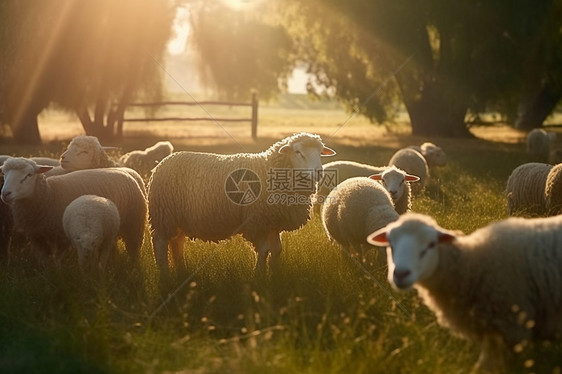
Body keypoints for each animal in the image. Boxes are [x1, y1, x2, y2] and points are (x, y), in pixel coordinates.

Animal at [1, 156, 145, 262]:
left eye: (29, 175)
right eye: (4, 174)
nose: (5, 193)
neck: (49, 194)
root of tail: (125, 171)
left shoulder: (62, 235)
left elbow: (58, 260)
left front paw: (58, 275)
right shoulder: (36, 235)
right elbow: (45, 260)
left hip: (134, 224)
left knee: (133, 249)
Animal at [147, 133, 334, 274]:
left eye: (320, 152)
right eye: (297, 151)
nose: (319, 172)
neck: (268, 169)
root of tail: (160, 164)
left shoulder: (272, 222)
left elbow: (277, 250)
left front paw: (275, 275)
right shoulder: (257, 221)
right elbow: (264, 250)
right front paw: (258, 275)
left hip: (177, 218)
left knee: (176, 243)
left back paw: (181, 269)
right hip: (163, 214)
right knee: (160, 243)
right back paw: (164, 273)